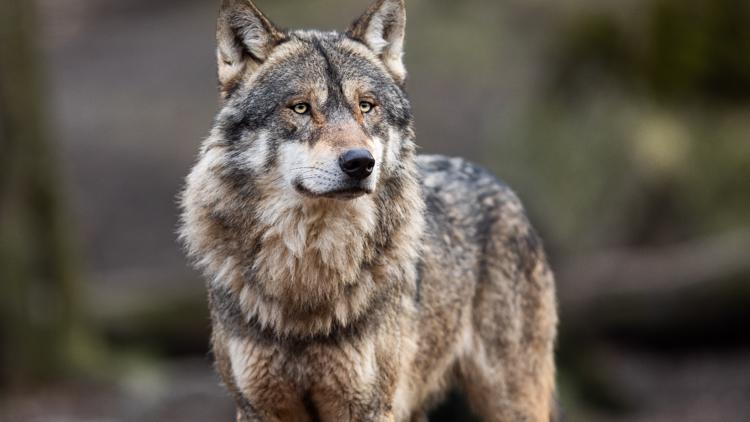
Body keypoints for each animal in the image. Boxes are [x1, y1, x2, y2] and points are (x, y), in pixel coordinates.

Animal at [179, 0, 558, 421]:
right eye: (300, 108)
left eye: (366, 106)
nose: (360, 163)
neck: (307, 277)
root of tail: (496, 181)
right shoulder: (257, 407)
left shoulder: (368, 405)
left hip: (508, 400)